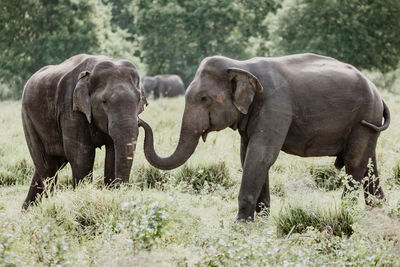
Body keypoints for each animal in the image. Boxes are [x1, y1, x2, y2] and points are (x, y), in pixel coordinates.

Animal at [21, 54, 148, 209]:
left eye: (139, 100)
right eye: (104, 101)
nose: (141, 122)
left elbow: (112, 153)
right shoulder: (70, 108)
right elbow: (82, 155)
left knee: (48, 166)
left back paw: (26, 210)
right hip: (28, 119)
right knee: (47, 167)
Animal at [139, 52, 390, 222]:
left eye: (203, 99)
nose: (140, 120)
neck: (241, 65)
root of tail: (377, 93)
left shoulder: (276, 106)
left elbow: (260, 155)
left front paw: (240, 223)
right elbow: (247, 155)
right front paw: (261, 218)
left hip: (364, 116)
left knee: (354, 161)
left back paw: (347, 210)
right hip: (368, 122)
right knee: (368, 163)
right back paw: (379, 210)